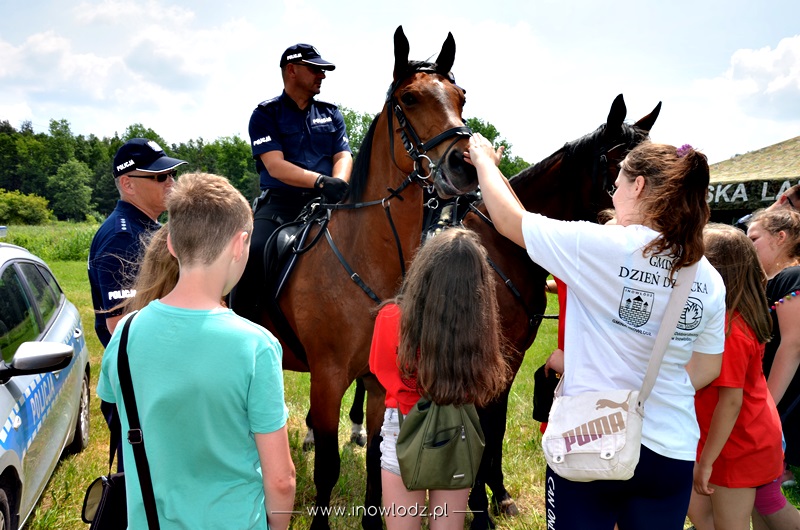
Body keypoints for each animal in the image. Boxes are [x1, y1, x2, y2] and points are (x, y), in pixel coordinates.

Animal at [263, 26, 478, 530]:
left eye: (461, 96)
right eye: (410, 98)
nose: (466, 165)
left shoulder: (381, 385)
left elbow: (382, 457)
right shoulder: (327, 378)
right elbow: (327, 466)